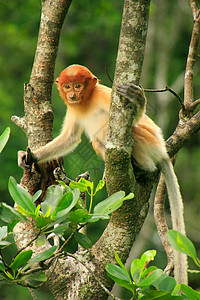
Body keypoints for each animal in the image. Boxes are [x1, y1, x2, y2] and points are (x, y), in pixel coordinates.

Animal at [18, 63, 188, 284]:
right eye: (67, 86)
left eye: (78, 85)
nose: (72, 95)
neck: (86, 101)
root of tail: (162, 151)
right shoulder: (73, 110)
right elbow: (69, 137)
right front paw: (30, 157)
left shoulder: (105, 95)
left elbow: (135, 118)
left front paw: (137, 98)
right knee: (98, 142)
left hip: (149, 141)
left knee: (124, 131)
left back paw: (142, 168)